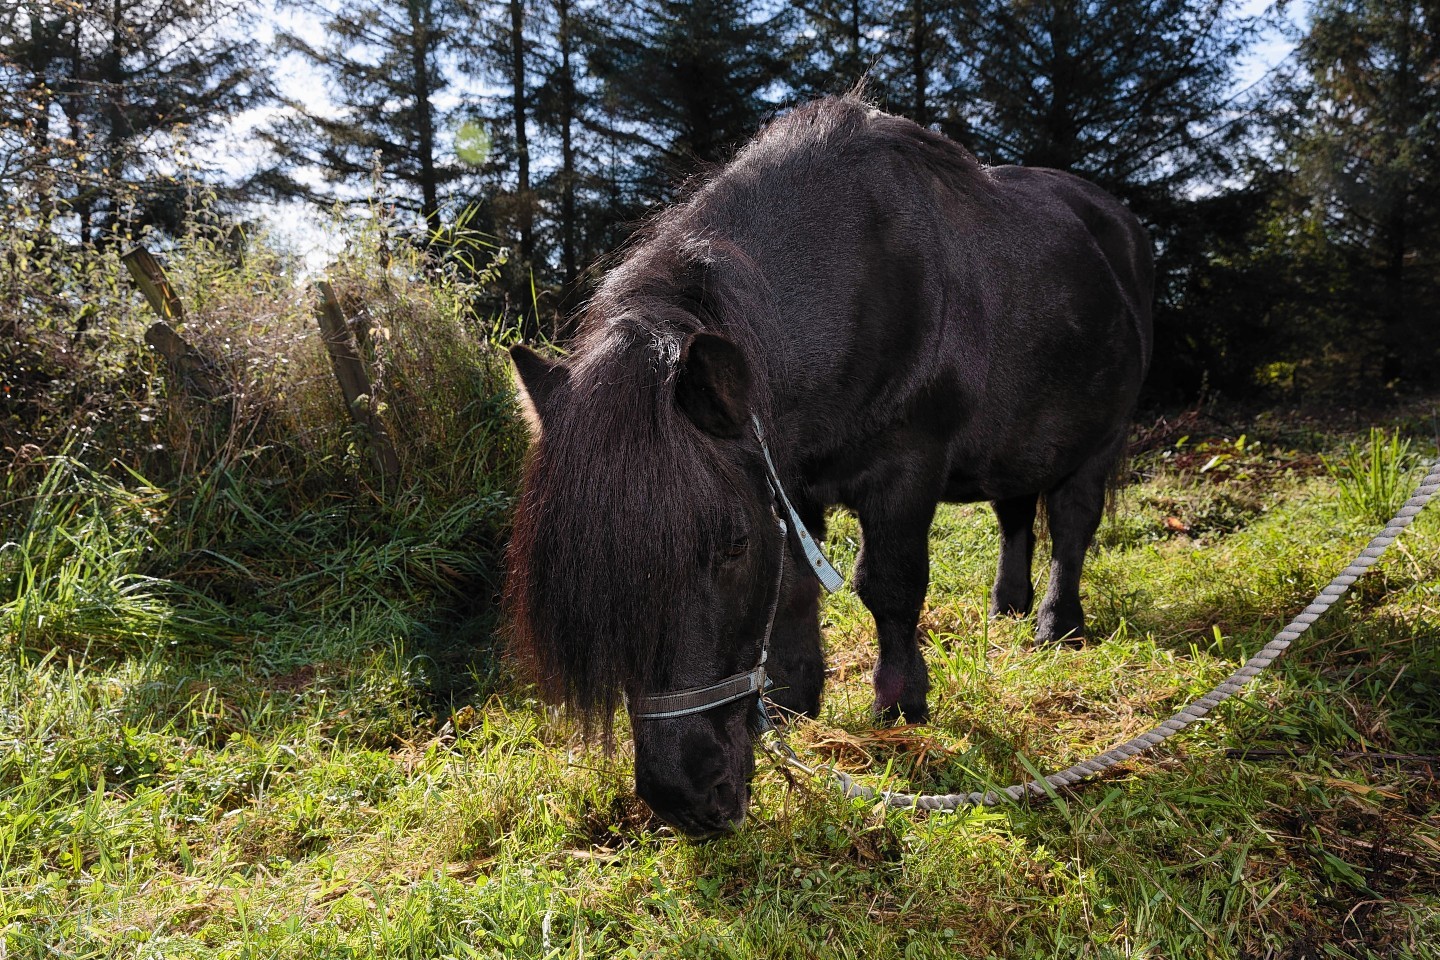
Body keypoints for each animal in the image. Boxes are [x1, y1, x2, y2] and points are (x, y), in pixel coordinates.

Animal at [506, 95, 1157, 834]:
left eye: (732, 545)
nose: (685, 799)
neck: (853, 282)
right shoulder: (786, 479)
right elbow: (794, 584)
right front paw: (795, 696)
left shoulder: (905, 472)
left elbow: (890, 585)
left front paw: (899, 704)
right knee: (1015, 512)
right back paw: (1008, 607)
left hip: (1098, 441)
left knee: (1073, 525)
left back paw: (1057, 624)